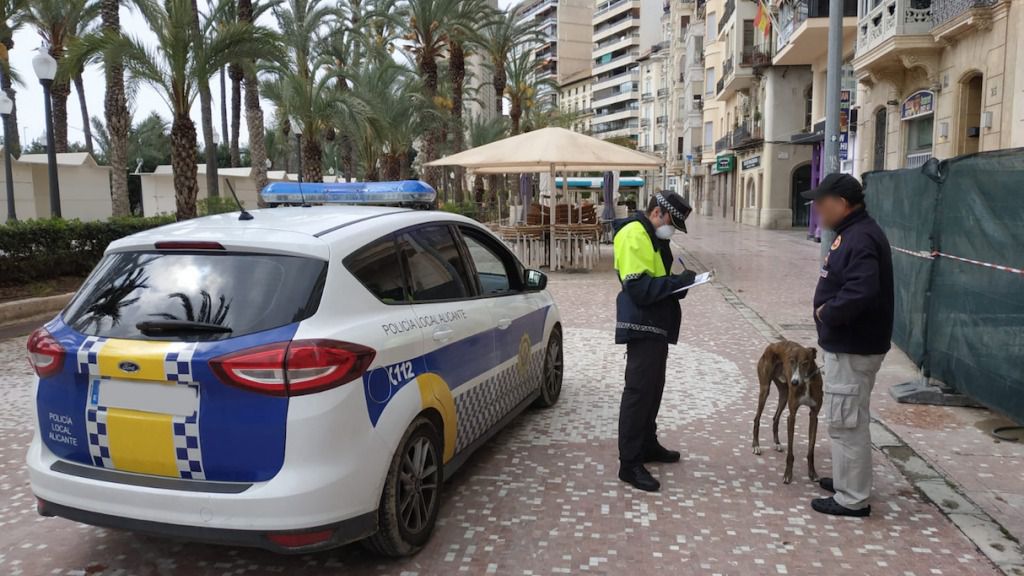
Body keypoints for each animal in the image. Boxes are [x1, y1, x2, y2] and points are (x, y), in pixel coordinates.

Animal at [753, 338, 823, 481]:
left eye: (805, 363)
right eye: (791, 362)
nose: (794, 382)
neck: (806, 382)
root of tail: (772, 345)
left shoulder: (814, 415)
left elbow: (811, 449)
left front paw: (812, 473)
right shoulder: (792, 415)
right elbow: (790, 452)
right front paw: (788, 475)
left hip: (784, 394)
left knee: (775, 418)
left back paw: (777, 443)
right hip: (765, 389)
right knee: (757, 418)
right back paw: (756, 445)